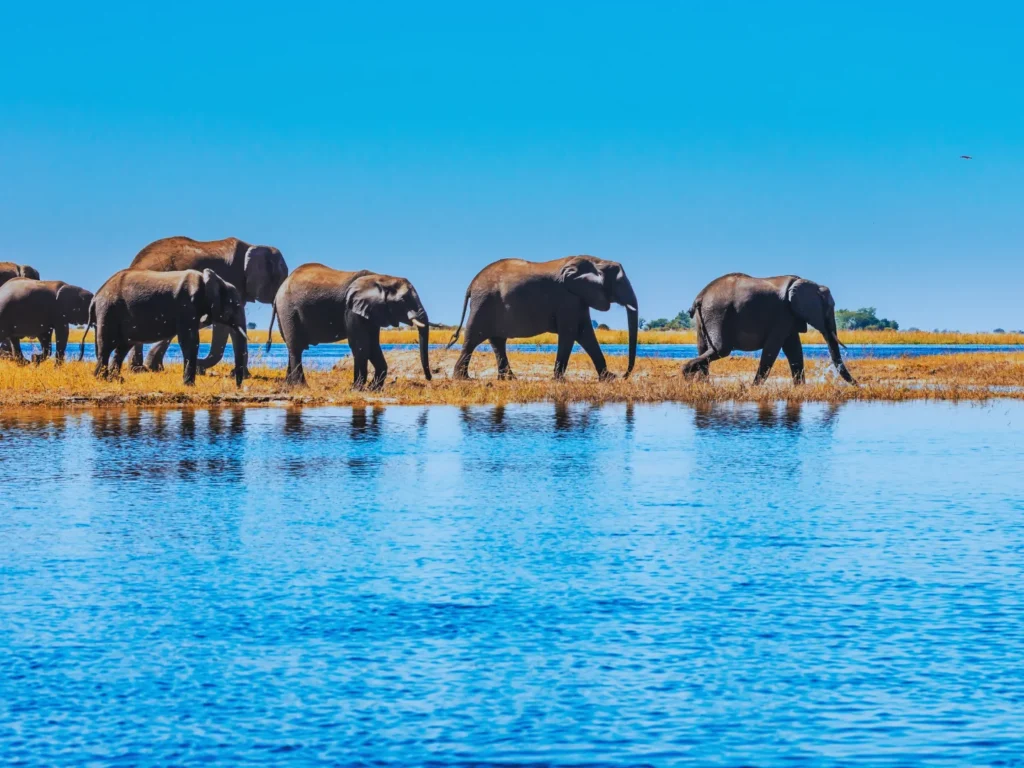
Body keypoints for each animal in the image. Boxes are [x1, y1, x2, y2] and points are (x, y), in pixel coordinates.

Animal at [81, 268, 248, 386]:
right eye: (235, 305)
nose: (238, 386)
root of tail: (95, 298)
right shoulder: (186, 306)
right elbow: (189, 340)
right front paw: (189, 385)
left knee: (122, 347)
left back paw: (116, 380)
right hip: (108, 311)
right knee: (107, 345)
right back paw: (102, 379)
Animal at [125, 236, 288, 375]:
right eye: (280, 278)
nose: (268, 346)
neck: (253, 246)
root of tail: (134, 264)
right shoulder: (230, 280)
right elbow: (223, 325)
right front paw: (200, 367)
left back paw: (145, 368)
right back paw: (140, 369)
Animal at [267, 264, 432, 389]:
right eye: (403, 300)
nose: (429, 378)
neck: (382, 278)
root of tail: (279, 291)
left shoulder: (372, 312)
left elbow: (373, 345)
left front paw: (372, 389)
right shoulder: (351, 309)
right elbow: (360, 345)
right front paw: (357, 389)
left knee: (292, 347)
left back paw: (288, 386)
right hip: (288, 309)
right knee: (296, 348)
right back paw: (301, 387)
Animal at [448, 255, 638, 380]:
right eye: (619, 282)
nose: (624, 375)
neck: (597, 261)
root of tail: (471, 284)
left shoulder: (578, 298)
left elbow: (585, 334)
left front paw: (609, 378)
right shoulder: (567, 298)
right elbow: (570, 333)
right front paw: (559, 380)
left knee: (497, 341)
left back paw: (508, 379)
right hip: (483, 303)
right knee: (473, 337)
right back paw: (463, 378)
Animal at [682, 273, 856, 384]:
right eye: (830, 307)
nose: (858, 385)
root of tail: (700, 296)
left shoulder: (789, 316)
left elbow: (794, 351)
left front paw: (800, 388)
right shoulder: (782, 315)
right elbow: (773, 349)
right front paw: (753, 388)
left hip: (705, 317)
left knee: (703, 348)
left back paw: (700, 384)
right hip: (718, 313)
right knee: (721, 349)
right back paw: (686, 375)